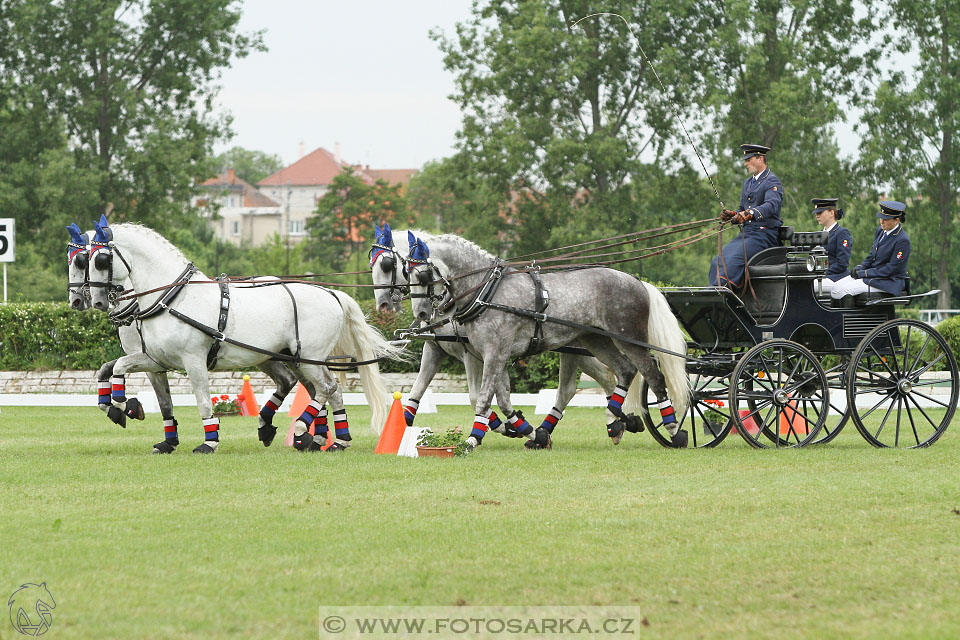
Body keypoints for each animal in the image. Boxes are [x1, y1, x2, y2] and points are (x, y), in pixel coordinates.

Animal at [78, 218, 402, 452]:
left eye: (100, 260)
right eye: (85, 260)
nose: (93, 300)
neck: (172, 299)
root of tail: (332, 293)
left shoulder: (193, 360)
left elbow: (202, 400)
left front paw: (209, 441)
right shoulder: (156, 359)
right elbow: (117, 369)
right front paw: (126, 409)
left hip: (309, 357)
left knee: (327, 388)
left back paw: (302, 431)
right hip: (295, 358)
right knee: (325, 391)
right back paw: (329, 439)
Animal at [404, 234, 688, 450]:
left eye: (423, 275)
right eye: (407, 275)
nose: (422, 314)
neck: (487, 291)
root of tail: (636, 281)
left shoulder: (494, 353)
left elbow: (484, 398)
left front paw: (473, 439)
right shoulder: (492, 355)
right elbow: (502, 399)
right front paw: (532, 433)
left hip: (630, 339)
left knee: (651, 374)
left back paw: (674, 430)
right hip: (595, 339)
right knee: (623, 370)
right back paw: (614, 418)